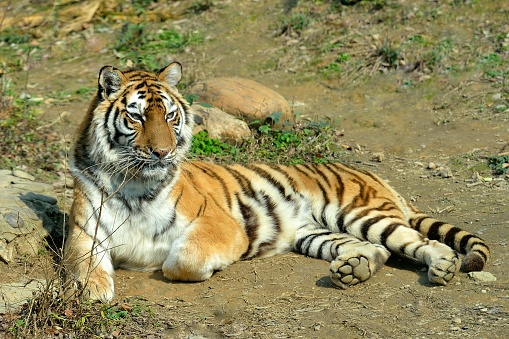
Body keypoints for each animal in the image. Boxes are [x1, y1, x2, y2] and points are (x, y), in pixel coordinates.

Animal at [63, 62, 488, 304]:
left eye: (169, 116)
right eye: (136, 117)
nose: (163, 153)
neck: (133, 182)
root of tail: (370, 172)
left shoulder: (219, 224)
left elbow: (180, 259)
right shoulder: (85, 232)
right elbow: (82, 265)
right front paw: (93, 290)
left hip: (363, 214)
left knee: (425, 243)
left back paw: (443, 268)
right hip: (316, 233)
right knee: (376, 250)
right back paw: (353, 270)